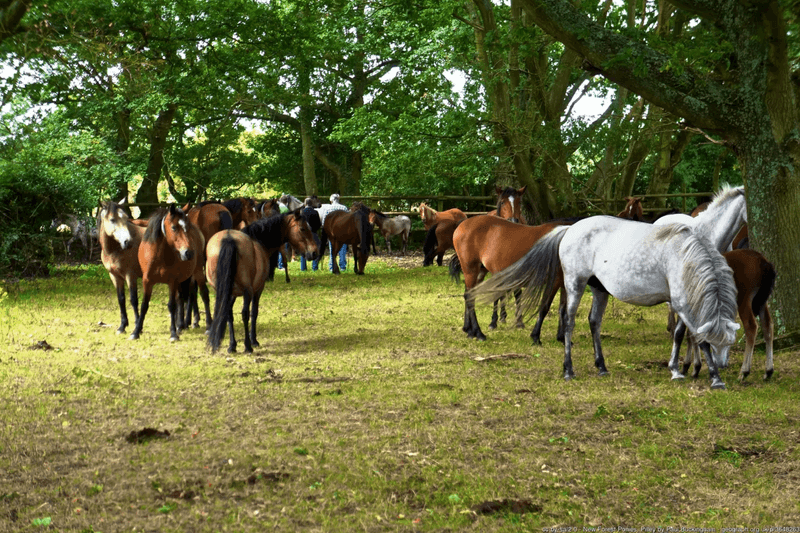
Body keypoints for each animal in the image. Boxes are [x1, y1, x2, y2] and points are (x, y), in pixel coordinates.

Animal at [97, 199, 145, 334]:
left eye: (125, 218)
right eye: (112, 219)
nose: (128, 242)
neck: (115, 250)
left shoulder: (130, 276)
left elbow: (133, 299)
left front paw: (137, 326)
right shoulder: (115, 276)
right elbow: (121, 299)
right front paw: (122, 326)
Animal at [129, 205, 205, 342]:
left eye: (187, 227)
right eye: (174, 227)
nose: (189, 253)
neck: (158, 256)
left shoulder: (172, 282)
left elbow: (171, 305)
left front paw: (173, 334)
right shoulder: (147, 281)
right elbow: (144, 305)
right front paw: (136, 331)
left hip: (197, 273)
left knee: (201, 295)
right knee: (182, 298)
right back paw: (181, 325)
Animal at [205, 210, 320, 353]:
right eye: (302, 228)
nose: (314, 252)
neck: (259, 241)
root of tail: (229, 239)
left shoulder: (231, 293)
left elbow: (229, 314)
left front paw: (233, 345)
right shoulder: (258, 289)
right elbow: (254, 313)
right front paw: (253, 340)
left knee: (228, 313)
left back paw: (233, 346)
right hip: (247, 291)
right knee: (245, 313)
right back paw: (248, 346)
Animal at [469, 218, 739, 389]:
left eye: (729, 343)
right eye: (718, 343)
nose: (723, 365)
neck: (683, 255)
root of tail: (570, 228)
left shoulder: (682, 304)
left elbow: (681, 334)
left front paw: (679, 370)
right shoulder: (681, 304)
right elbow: (695, 338)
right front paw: (712, 377)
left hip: (599, 289)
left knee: (594, 323)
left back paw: (601, 366)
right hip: (575, 284)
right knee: (569, 322)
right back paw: (568, 370)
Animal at [681, 249, 775, 382]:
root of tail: (764, 262)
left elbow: (691, 334)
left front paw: (693, 367)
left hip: (744, 300)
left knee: (751, 327)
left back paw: (744, 371)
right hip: (762, 302)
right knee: (768, 326)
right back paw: (768, 371)